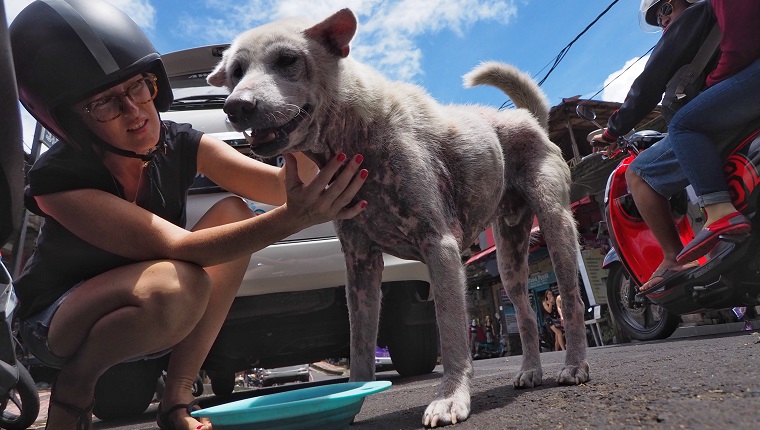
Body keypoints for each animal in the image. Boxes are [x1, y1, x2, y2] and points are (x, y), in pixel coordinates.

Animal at [211, 7, 592, 426]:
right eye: (236, 71)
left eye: (287, 59)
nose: (235, 107)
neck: (359, 134)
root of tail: (531, 120)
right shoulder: (360, 266)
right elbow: (360, 344)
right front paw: (352, 396)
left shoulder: (440, 248)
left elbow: (452, 332)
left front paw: (451, 397)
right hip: (509, 258)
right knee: (524, 316)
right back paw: (530, 371)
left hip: (556, 226)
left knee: (572, 301)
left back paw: (575, 366)